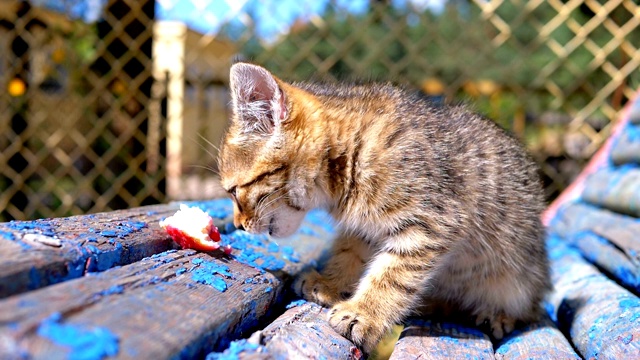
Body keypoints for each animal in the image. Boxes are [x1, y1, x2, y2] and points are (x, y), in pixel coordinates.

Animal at [218, 62, 552, 354]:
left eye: (234, 191)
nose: (238, 224)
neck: (346, 161)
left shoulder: (433, 222)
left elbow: (392, 275)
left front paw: (363, 313)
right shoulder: (363, 227)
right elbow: (350, 253)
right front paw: (331, 283)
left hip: (520, 279)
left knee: (527, 308)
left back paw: (498, 313)